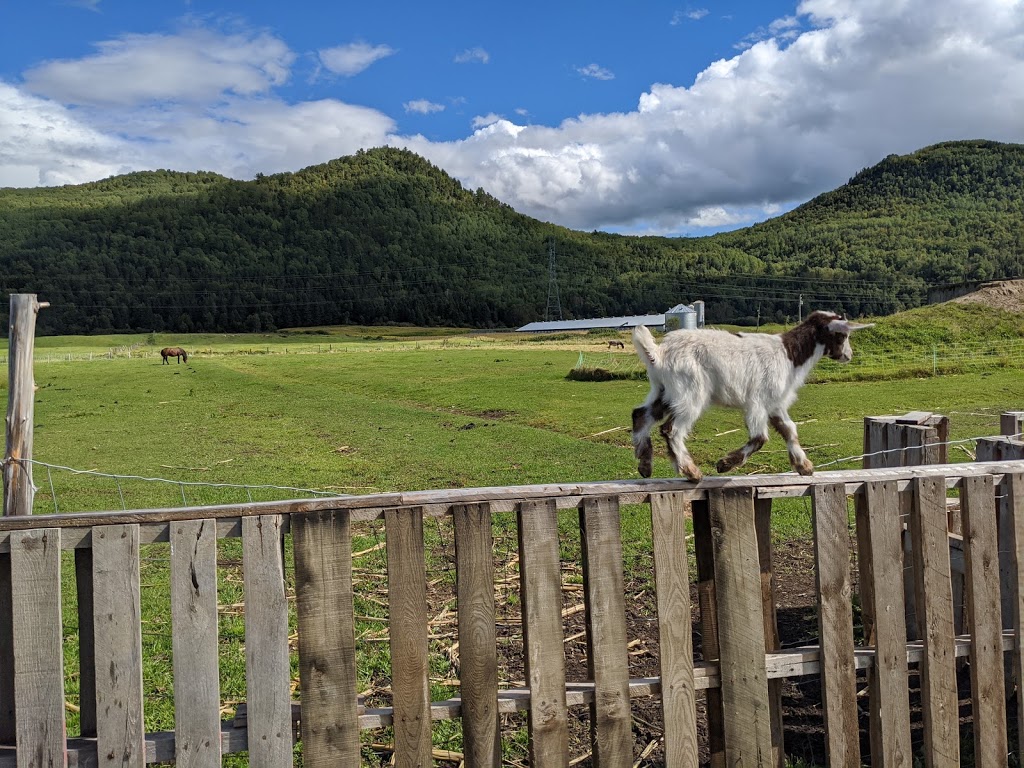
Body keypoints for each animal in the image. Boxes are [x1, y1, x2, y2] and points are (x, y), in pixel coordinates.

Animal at [630, 311, 872, 481]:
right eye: (842, 335)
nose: (848, 356)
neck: (790, 354)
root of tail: (660, 354)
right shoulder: (758, 401)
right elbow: (760, 438)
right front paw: (725, 464)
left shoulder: (775, 403)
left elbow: (790, 430)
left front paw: (804, 466)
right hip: (690, 392)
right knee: (671, 429)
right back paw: (691, 471)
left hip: (663, 390)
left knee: (640, 415)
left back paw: (645, 464)